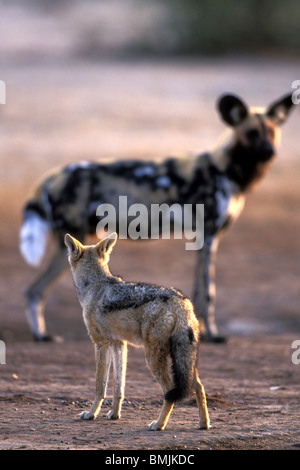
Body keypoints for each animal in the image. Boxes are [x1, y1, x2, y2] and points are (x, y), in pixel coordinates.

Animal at [19, 92, 294, 342]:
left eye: (272, 132)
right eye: (251, 133)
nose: (269, 152)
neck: (225, 169)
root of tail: (52, 176)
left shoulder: (202, 240)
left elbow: (200, 290)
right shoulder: (209, 237)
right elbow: (209, 292)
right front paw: (212, 335)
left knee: (34, 291)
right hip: (70, 244)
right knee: (34, 291)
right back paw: (40, 335)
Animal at [64, 231, 210, 430]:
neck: (95, 284)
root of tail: (179, 300)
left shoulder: (100, 344)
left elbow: (100, 386)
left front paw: (91, 414)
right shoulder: (119, 344)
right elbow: (119, 386)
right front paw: (114, 414)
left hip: (152, 360)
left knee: (170, 393)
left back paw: (158, 424)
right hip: (184, 361)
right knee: (199, 387)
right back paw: (204, 424)